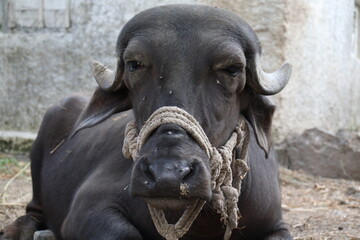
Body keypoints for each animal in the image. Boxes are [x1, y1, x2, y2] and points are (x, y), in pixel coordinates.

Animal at [2, 4, 292, 240]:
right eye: (134, 64)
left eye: (232, 69)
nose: (168, 174)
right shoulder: (85, 210)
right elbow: (124, 233)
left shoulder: (276, 224)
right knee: (32, 212)